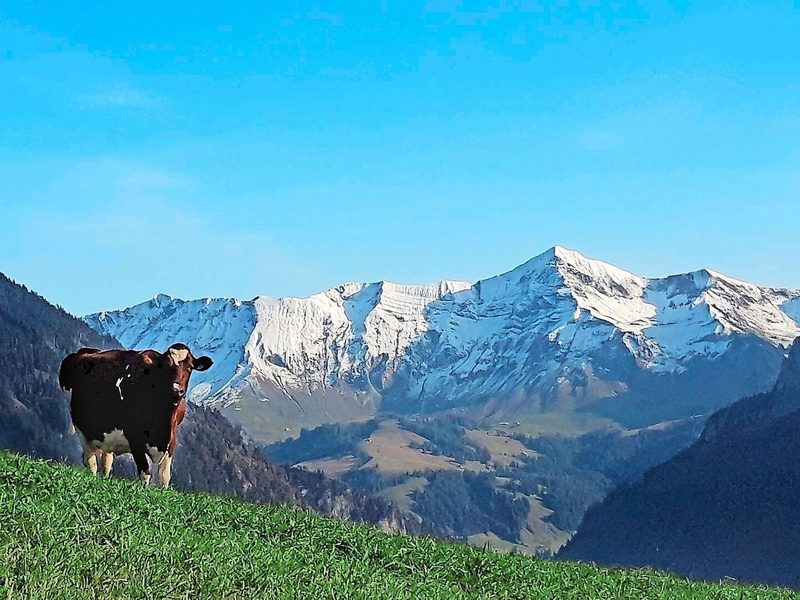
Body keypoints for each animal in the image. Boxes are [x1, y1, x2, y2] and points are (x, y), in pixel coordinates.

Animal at [59, 343, 213, 487]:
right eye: (166, 367)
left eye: (189, 367)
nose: (177, 390)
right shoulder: (134, 438)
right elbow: (145, 473)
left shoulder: (171, 440)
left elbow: (164, 477)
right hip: (81, 429)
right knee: (91, 462)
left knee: (106, 461)